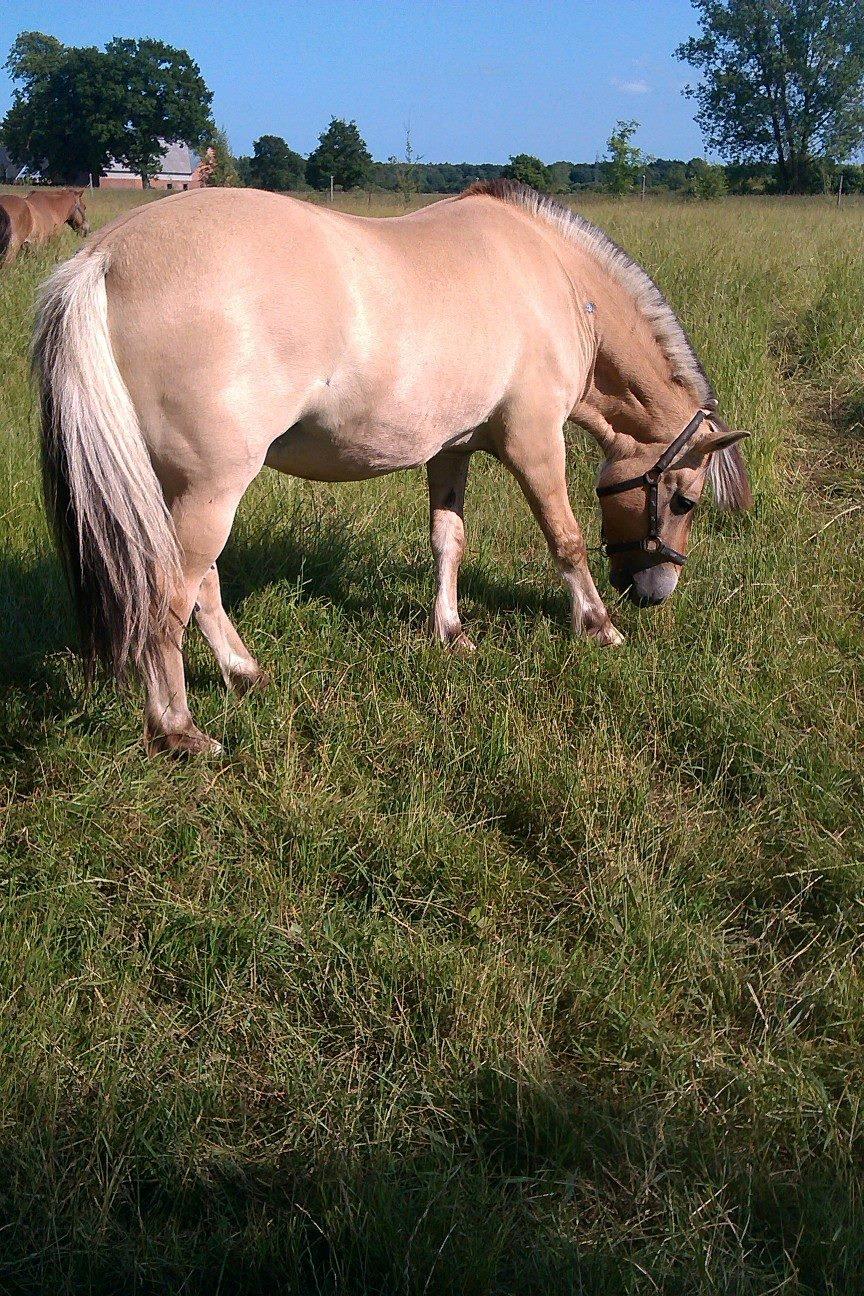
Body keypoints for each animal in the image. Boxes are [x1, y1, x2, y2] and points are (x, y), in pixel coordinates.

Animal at [33, 177, 751, 756]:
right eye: (684, 500)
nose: (655, 590)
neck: (556, 278)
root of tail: (107, 256)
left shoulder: (451, 449)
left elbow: (448, 539)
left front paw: (451, 632)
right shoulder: (534, 441)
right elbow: (566, 540)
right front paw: (600, 626)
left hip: (181, 492)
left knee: (201, 588)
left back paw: (244, 672)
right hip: (211, 491)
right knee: (171, 597)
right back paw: (178, 729)